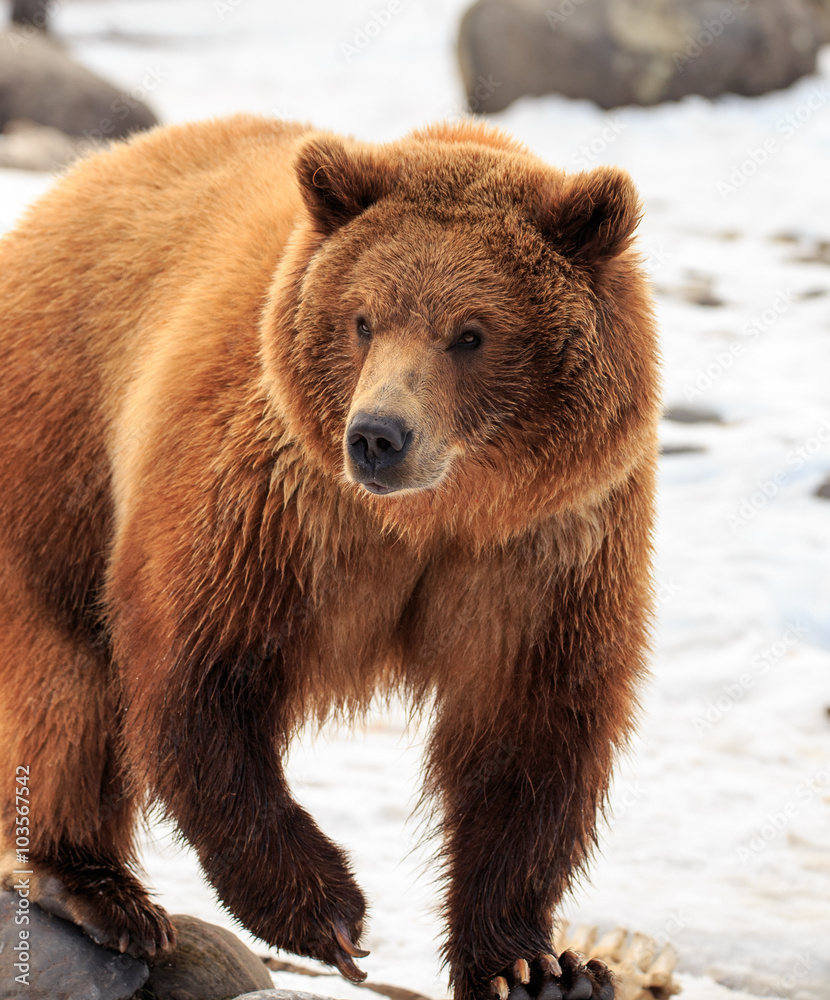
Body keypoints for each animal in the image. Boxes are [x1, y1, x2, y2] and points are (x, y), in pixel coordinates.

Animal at [0, 114, 659, 1000]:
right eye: (363, 319)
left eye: (472, 332)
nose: (378, 435)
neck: (435, 515)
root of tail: (83, 174)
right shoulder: (276, 506)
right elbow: (197, 675)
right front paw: (330, 914)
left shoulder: (546, 552)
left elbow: (531, 733)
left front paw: (538, 966)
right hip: (61, 450)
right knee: (66, 671)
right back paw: (96, 888)